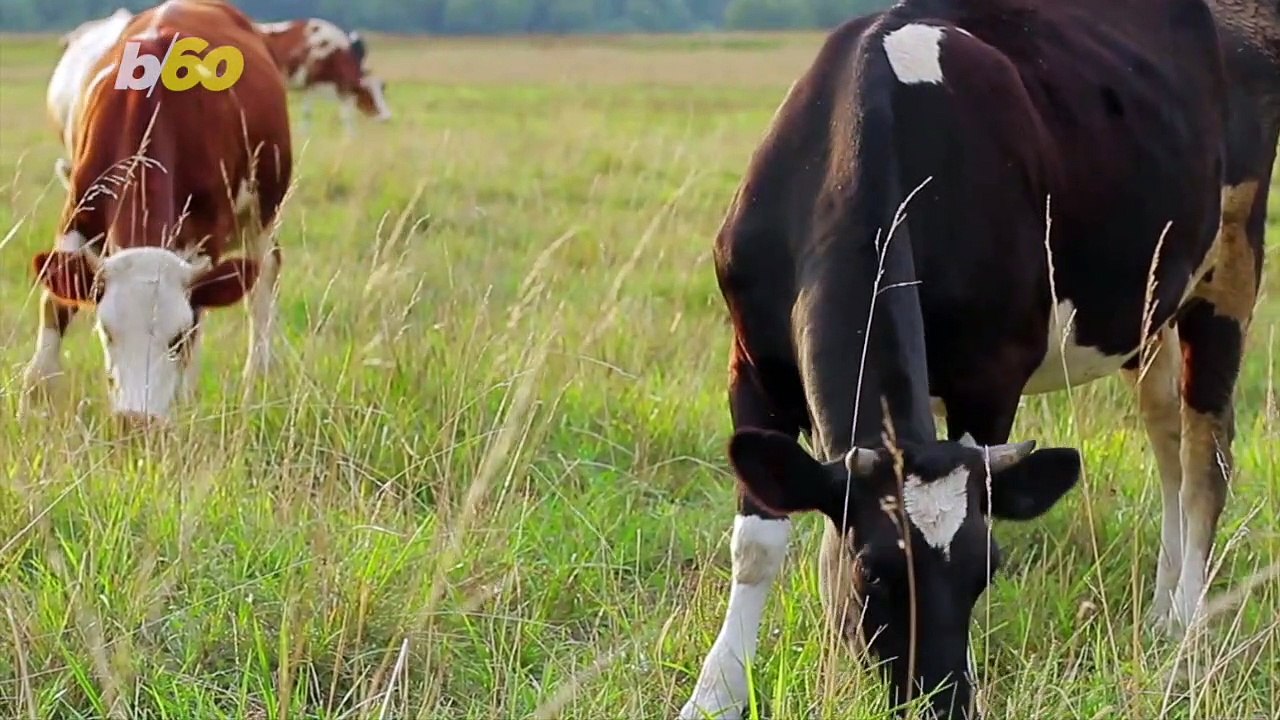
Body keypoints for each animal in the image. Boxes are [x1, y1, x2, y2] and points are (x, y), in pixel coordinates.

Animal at [252, 18, 392, 132]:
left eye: (382, 91)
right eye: (367, 94)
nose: (387, 117)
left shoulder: (340, 88)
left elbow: (346, 115)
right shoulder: (309, 85)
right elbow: (308, 114)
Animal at [679, 0, 1250, 718]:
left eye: (987, 569)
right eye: (873, 573)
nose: (942, 699)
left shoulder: (991, 373)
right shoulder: (754, 363)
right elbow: (757, 543)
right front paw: (715, 696)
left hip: (1230, 257)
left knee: (1206, 457)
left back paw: (1189, 630)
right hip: (1148, 311)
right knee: (1167, 438)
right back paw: (1162, 614)